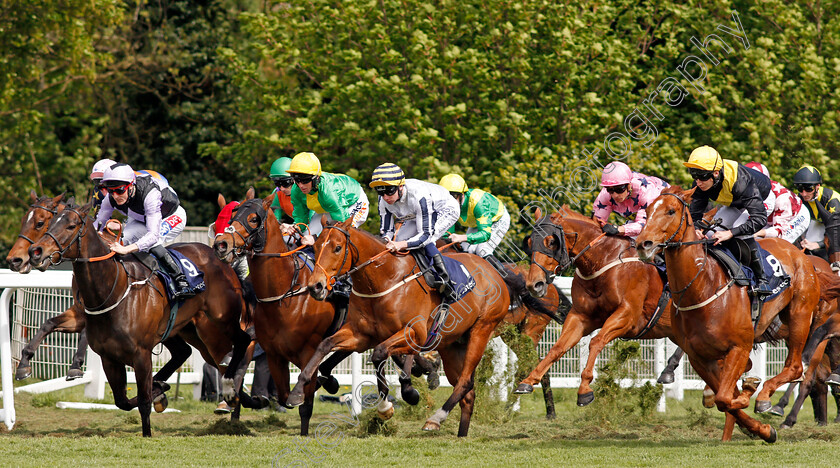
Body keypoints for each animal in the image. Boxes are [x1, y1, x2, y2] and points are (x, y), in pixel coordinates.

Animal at [286, 218, 516, 436]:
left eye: (337, 247)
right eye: (316, 247)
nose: (315, 287)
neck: (386, 279)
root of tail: (495, 272)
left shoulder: (414, 333)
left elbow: (379, 354)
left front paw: (393, 402)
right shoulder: (361, 335)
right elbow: (324, 346)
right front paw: (297, 392)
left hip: (481, 330)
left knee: (466, 382)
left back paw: (435, 419)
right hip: (452, 345)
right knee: (467, 393)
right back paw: (461, 434)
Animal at [512, 205, 676, 406]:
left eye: (551, 242)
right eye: (529, 242)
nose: (534, 285)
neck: (603, 260)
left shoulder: (628, 315)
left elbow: (596, 341)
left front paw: (584, 389)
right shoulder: (581, 316)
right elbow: (558, 347)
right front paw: (527, 381)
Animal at [636, 187, 828, 442]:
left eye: (670, 211)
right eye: (647, 211)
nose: (643, 244)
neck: (703, 286)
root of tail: (802, 255)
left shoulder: (740, 346)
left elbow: (726, 397)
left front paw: (750, 391)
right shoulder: (699, 358)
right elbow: (724, 400)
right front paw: (763, 430)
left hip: (800, 316)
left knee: (796, 367)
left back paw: (766, 398)